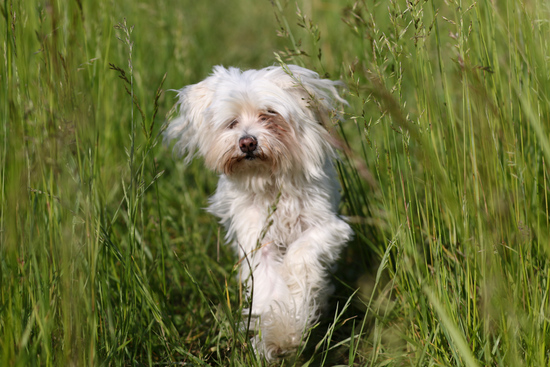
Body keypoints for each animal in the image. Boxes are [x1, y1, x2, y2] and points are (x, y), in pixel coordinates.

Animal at [164, 64, 354, 360]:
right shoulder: (258, 243)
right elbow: (270, 287)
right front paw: (280, 336)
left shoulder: (328, 228)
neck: (270, 181)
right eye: (232, 122)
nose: (247, 143)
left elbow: (299, 258)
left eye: (269, 115)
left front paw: (293, 321)